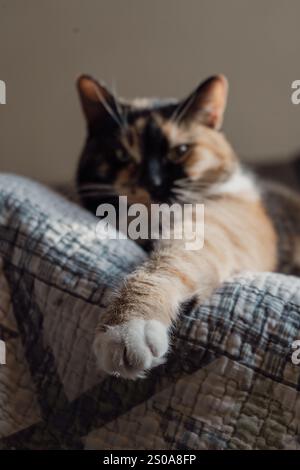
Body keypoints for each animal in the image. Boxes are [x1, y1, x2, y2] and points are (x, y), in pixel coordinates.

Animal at [77, 75, 276, 380]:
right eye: (121, 154)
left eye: (180, 151)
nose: (152, 183)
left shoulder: (212, 229)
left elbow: (164, 266)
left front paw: (127, 330)